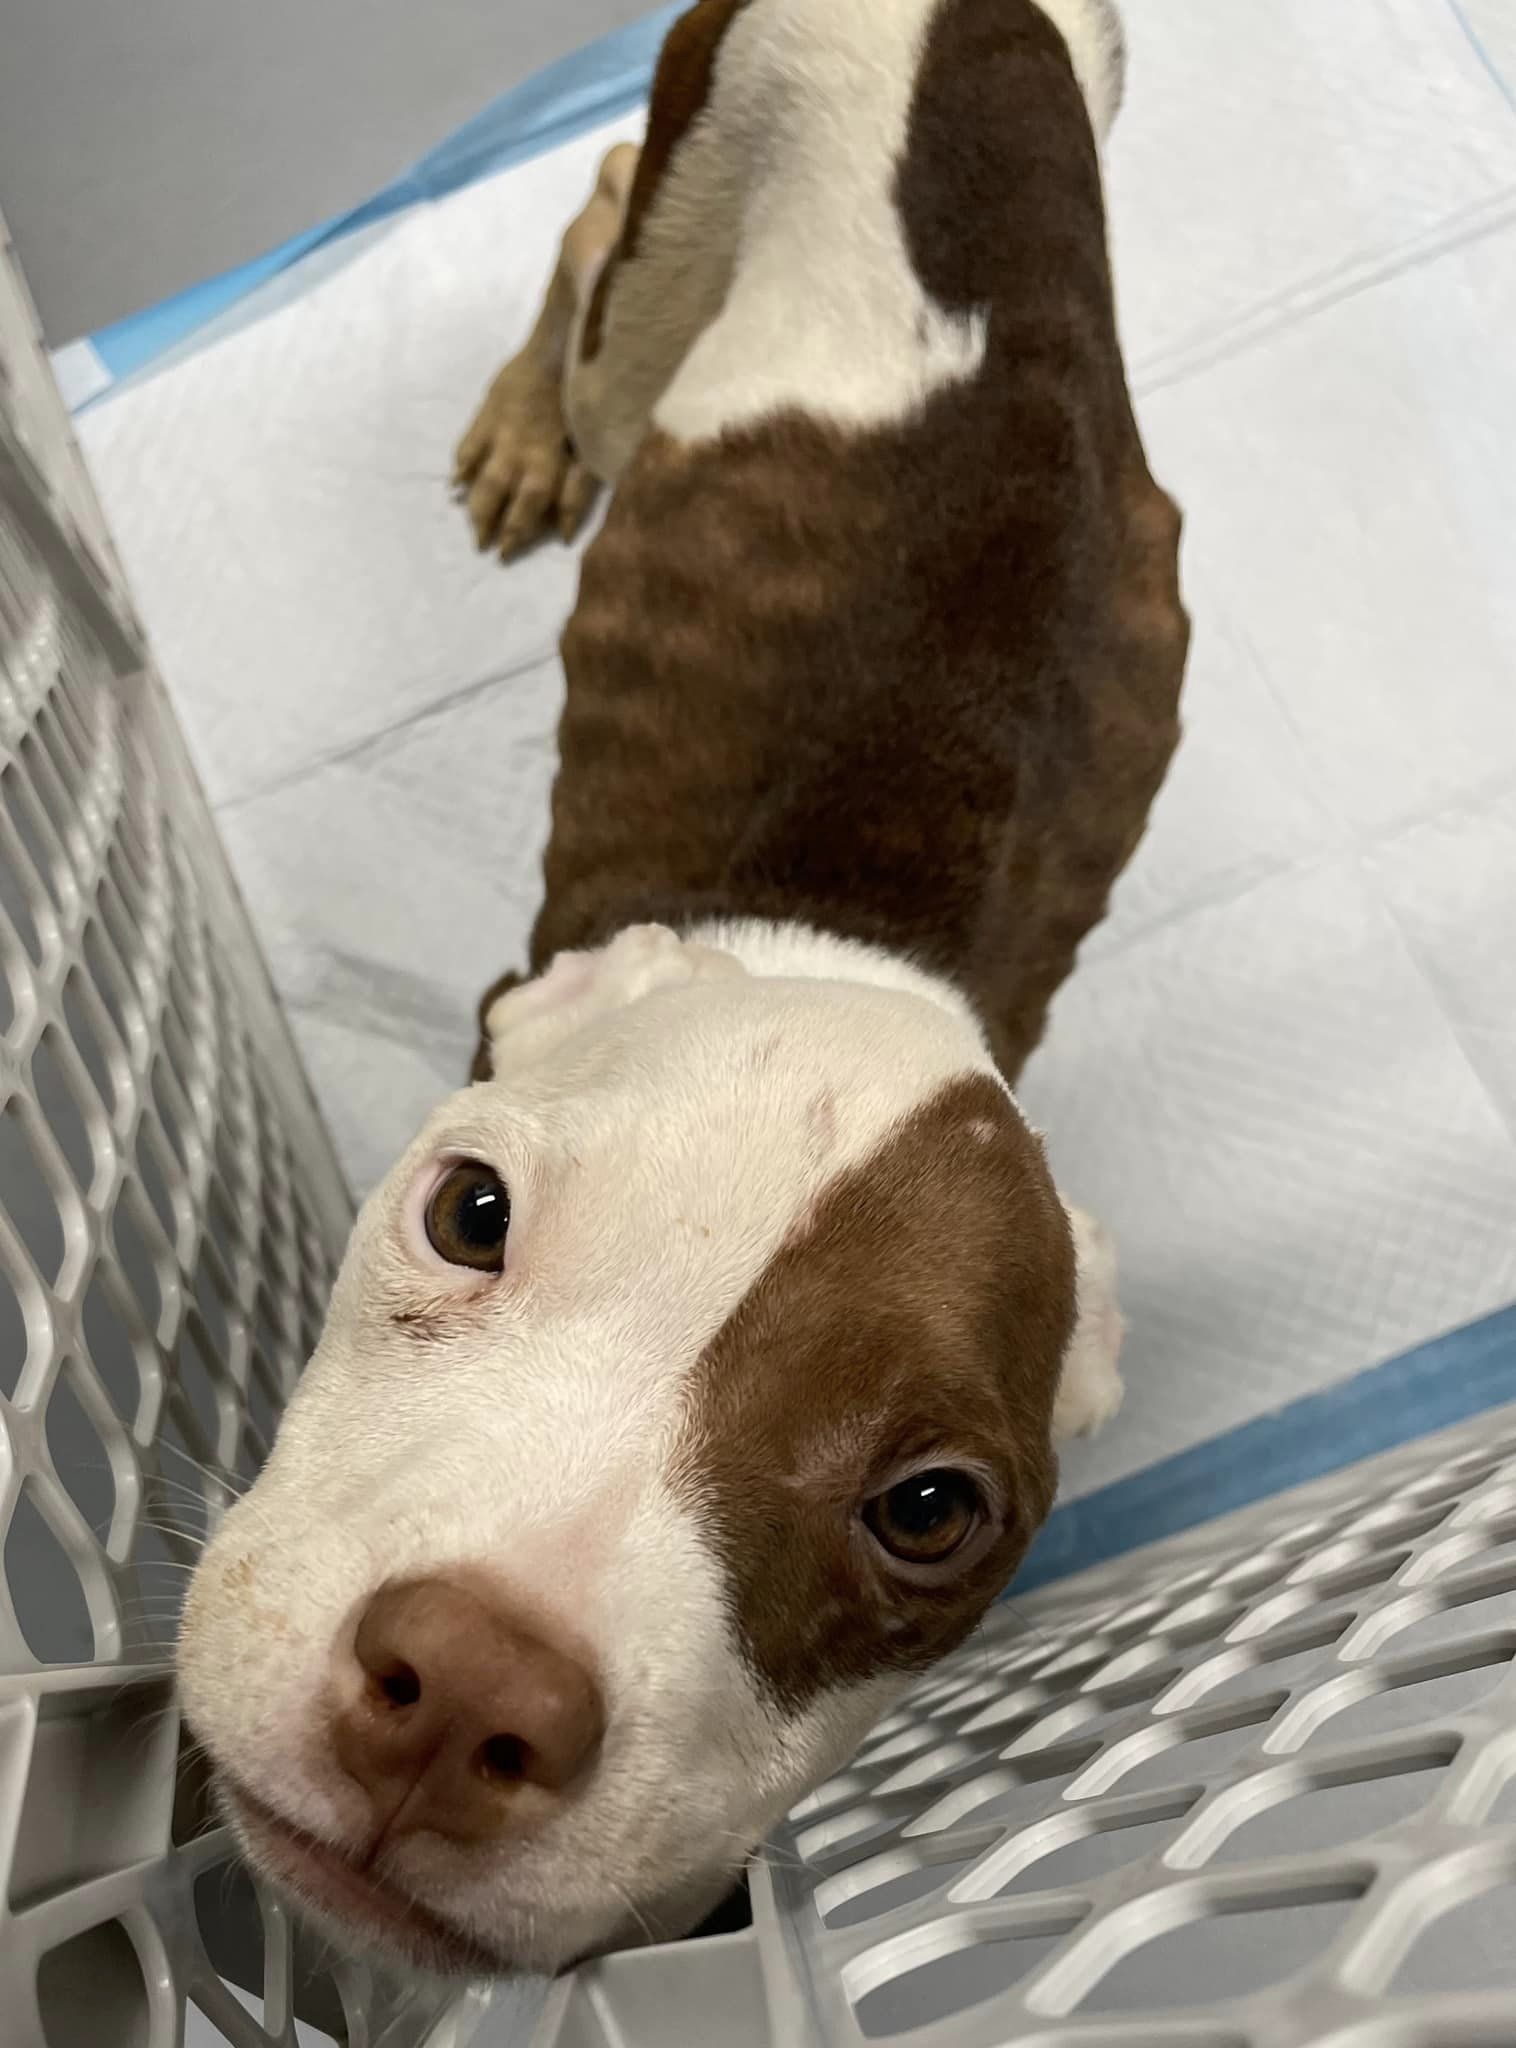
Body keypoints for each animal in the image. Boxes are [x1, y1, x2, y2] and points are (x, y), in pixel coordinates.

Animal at [180, 0, 1188, 1982]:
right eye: (469, 1212)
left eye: (929, 1511)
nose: (466, 1688)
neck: (872, 943)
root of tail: (992, 22)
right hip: (681, 223)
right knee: (593, 223)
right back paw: (521, 430)